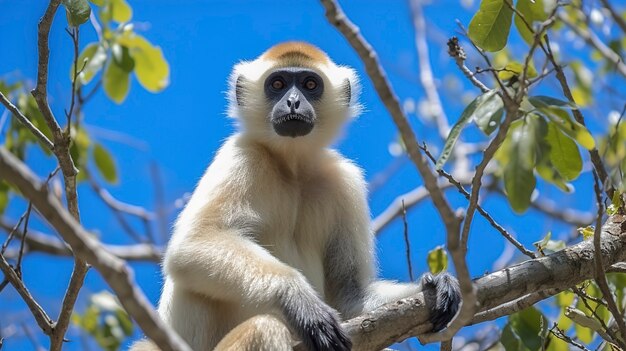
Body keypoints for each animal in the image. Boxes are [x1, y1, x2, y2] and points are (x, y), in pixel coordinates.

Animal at [129, 42, 458, 351]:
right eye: (277, 84)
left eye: (310, 84)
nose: (293, 101)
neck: (292, 167)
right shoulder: (240, 154)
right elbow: (192, 244)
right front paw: (298, 299)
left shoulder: (345, 181)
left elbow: (351, 297)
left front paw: (433, 286)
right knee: (263, 327)